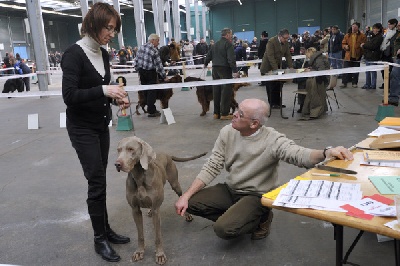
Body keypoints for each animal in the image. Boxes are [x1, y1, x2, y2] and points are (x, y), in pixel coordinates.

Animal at [113, 136, 205, 264]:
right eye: (118, 150)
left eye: (131, 149)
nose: (117, 164)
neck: (139, 177)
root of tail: (168, 154)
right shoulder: (135, 210)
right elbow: (140, 235)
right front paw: (139, 252)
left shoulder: (157, 210)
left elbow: (158, 236)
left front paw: (160, 254)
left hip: (175, 184)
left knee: (181, 196)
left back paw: (187, 215)